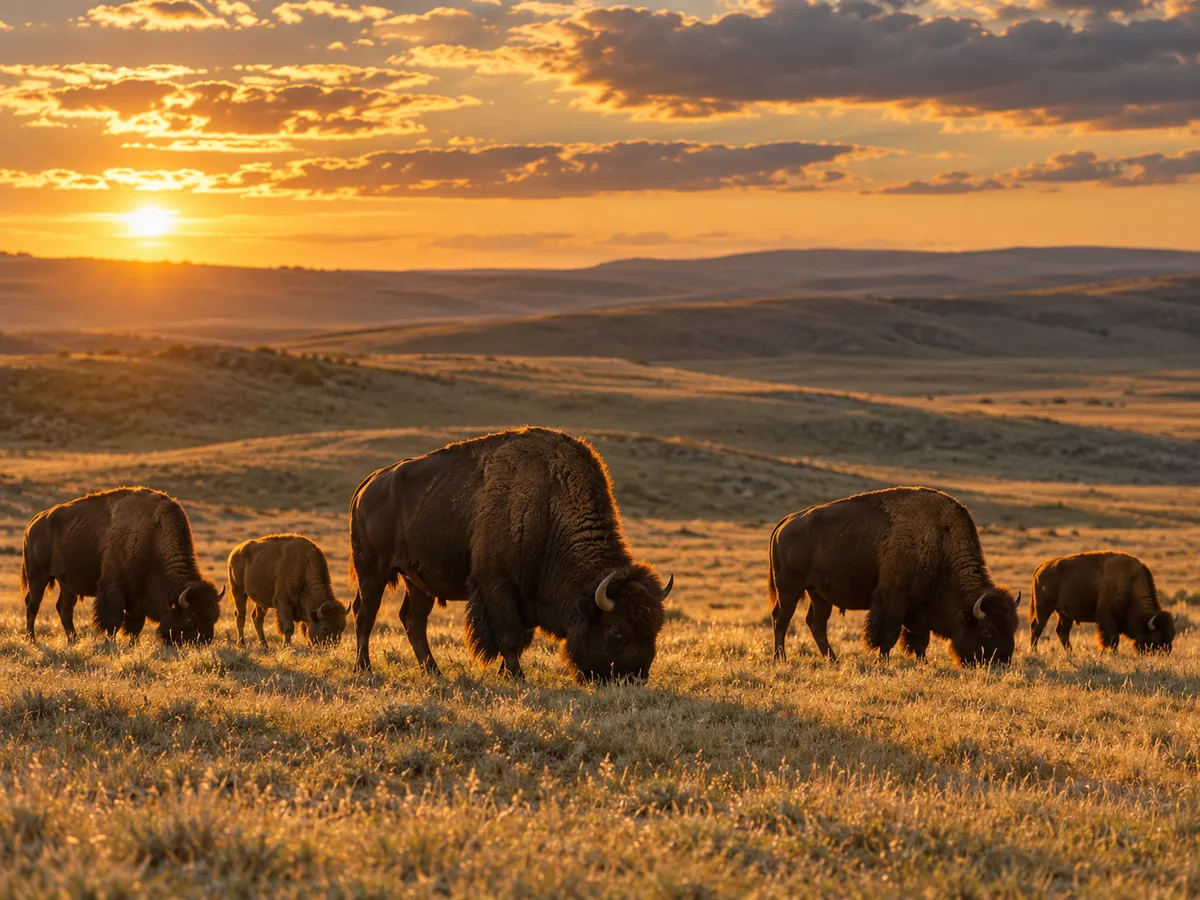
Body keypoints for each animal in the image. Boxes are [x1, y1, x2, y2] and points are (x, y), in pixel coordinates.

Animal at [21, 487, 224, 644]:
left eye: (214, 617)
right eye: (190, 619)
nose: (203, 642)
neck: (151, 537)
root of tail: (34, 523)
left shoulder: (139, 597)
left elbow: (135, 625)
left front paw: (134, 645)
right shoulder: (114, 588)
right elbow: (114, 621)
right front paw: (110, 644)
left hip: (68, 584)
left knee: (64, 609)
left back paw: (74, 640)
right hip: (38, 577)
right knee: (33, 605)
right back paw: (32, 639)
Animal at [348, 427, 673, 681]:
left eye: (655, 627)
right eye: (616, 628)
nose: (635, 677)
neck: (548, 506)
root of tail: (367, 485)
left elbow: (519, 637)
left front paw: (507, 673)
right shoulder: (497, 586)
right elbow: (510, 636)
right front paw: (517, 676)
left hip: (418, 582)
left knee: (413, 621)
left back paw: (434, 672)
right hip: (372, 571)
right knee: (366, 614)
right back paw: (364, 669)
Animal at [768, 486, 1020, 666]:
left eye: (1013, 626)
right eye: (987, 630)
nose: (1002, 662)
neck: (939, 541)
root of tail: (786, 522)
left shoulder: (919, 609)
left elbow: (920, 641)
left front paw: (923, 663)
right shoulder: (894, 599)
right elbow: (889, 635)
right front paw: (883, 662)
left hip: (818, 594)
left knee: (816, 623)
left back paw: (833, 659)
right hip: (789, 588)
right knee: (782, 618)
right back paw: (780, 658)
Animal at [1030, 550, 1175, 654]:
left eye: (1171, 636)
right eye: (1155, 637)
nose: (1165, 653)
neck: (1129, 583)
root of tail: (1041, 568)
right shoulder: (1107, 617)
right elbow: (1112, 639)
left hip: (1064, 614)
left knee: (1062, 632)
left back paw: (1072, 654)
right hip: (1044, 609)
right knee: (1037, 628)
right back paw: (1034, 652)